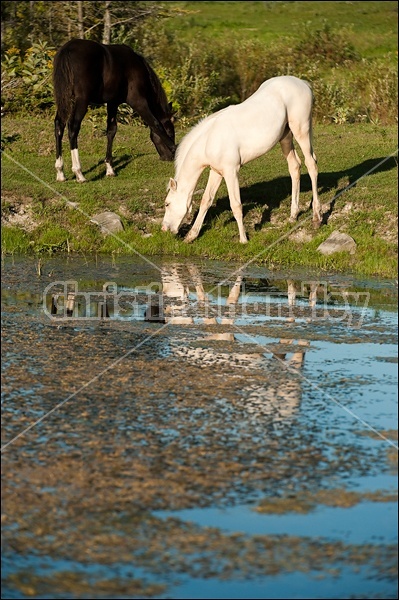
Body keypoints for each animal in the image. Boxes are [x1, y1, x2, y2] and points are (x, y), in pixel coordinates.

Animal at [53, 38, 177, 182]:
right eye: (171, 132)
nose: (168, 158)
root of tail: (67, 48)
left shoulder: (113, 103)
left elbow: (111, 131)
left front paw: (110, 169)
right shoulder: (139, 102)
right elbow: (156, 124)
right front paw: (175, 148)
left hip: (65, 100)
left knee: (59, 125)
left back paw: (60, 172)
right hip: (81, 101)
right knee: (73, 127)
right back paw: (79, 173)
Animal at [162, 75, 322, 244]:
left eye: (167, 204)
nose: (164, 228)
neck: (210, 139)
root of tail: (302, 83)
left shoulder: (231, 172)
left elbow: (236, 205)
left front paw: (243, 239)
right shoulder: (216, 172)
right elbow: (206, 200)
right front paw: (191, 236)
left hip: (301, 131)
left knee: (311, 165)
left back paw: (317, 218)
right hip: (286, 137)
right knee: (295, 167)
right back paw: (293, 215)